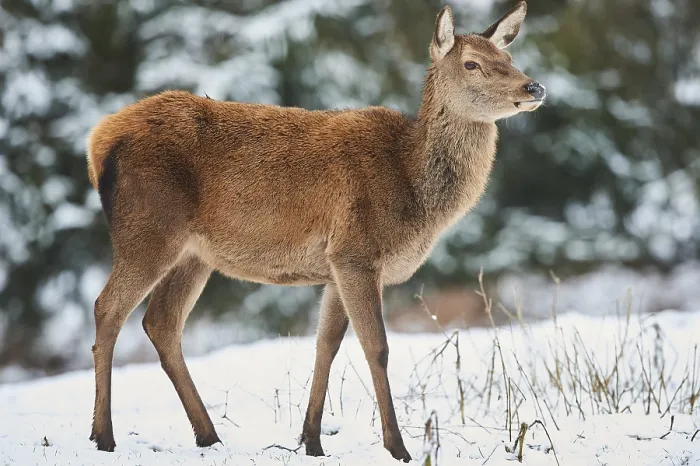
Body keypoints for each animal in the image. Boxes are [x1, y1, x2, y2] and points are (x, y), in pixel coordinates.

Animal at [85, 1, 544, 462]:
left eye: (508, 57)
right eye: (472, 64)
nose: (534, 87)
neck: (413, 188)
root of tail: (98, 143)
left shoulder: (335, 265)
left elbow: (327, 345)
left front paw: (311, 439)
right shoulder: (357, 252)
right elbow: (377, 347)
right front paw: (397, 447)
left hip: (194, 254)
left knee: (161, 322)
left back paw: (208, 435)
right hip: (149, 228)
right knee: (108, 308)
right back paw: (104, 435)